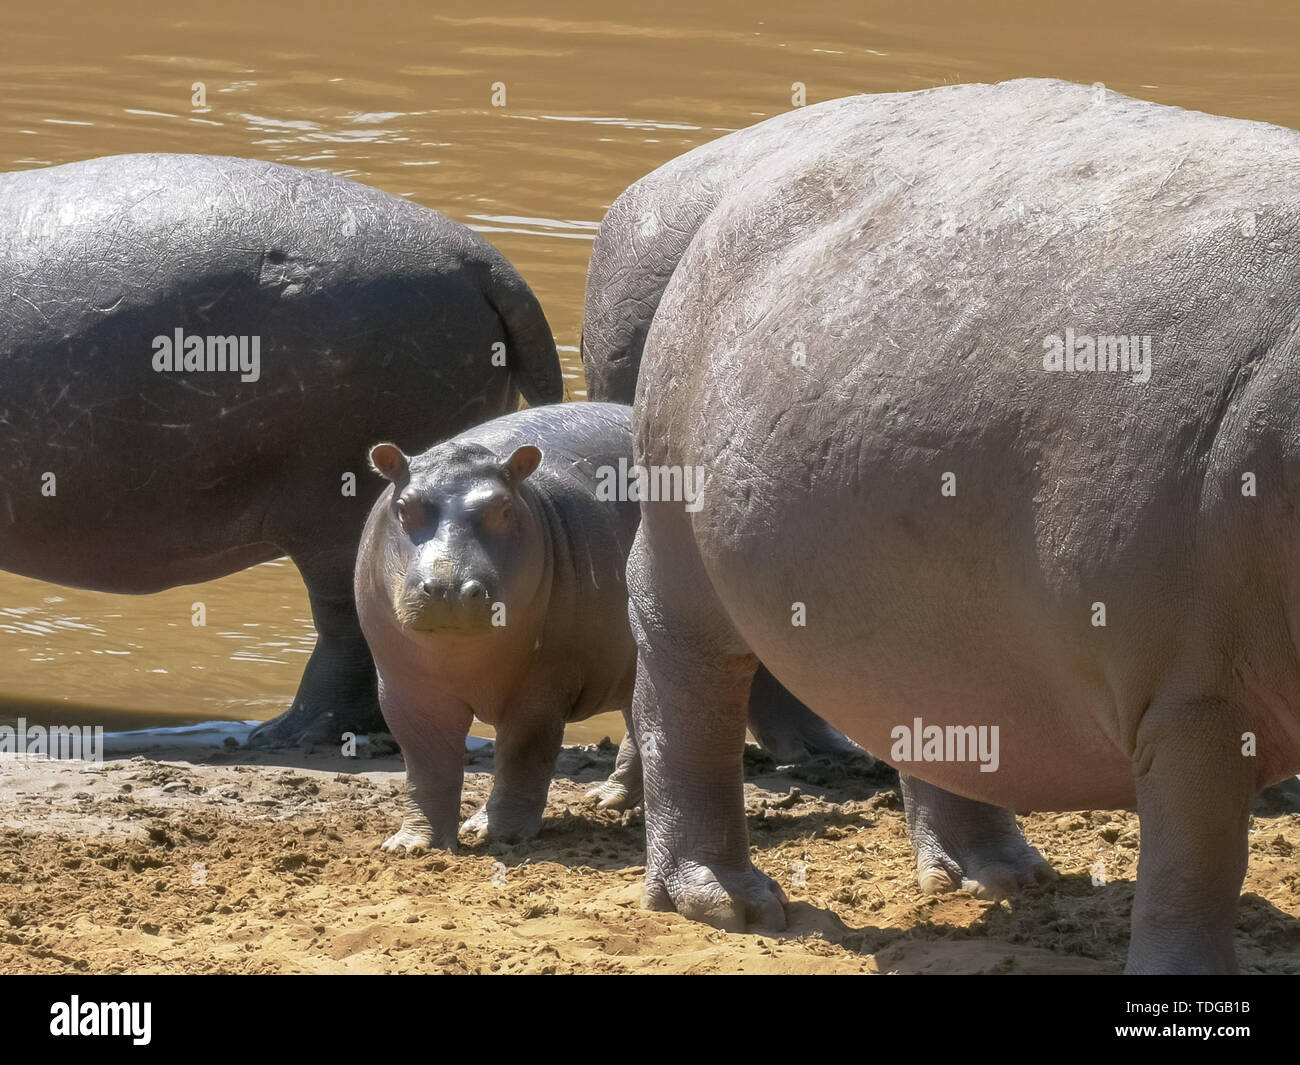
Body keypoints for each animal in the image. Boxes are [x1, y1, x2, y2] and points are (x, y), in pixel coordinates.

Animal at [356, 403, 640, 849]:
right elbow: (426, 765)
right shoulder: (406, 691)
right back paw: (604, 800)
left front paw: (493, 833)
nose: (450, 589)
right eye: (403, 506)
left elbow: (524, 756)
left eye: (504, 508)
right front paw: (412, 844)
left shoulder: (541, 686)